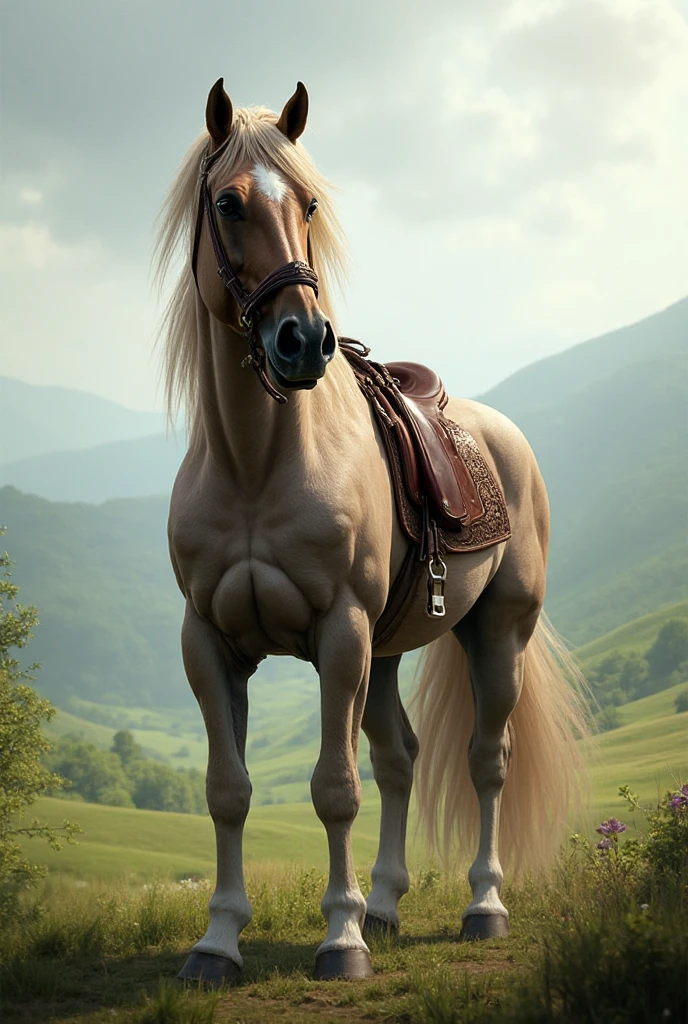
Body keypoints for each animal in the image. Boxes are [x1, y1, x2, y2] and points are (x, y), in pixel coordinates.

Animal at [155, 78, 587, 985]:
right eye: (228, 203)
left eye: (310, 202)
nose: (304, 340)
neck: (257, 465)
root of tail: (506, 436)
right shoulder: (209, 642)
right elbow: (228, 789)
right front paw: (218, 941)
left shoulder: (339, 634)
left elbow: (333, 788)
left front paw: (341, 940)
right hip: (386, 650)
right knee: (400, 756)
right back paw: (387, 902)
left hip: (493, 635)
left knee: (484, 760)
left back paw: (481, 905)